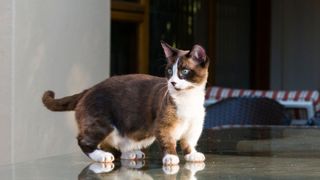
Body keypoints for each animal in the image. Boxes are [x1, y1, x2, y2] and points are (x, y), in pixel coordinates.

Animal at [41, 40, 209, 165]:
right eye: (169, 71)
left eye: (184, 71)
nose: (172, 82)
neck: (188, 99)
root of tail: (89, 88)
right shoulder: (163, 125)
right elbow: (168, 142)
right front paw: (171, 157)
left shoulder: (195, 127)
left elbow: (189, 142)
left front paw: (192, 155)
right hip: (102, 122)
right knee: (84, 140)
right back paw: (102, 156)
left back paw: (131, 153)